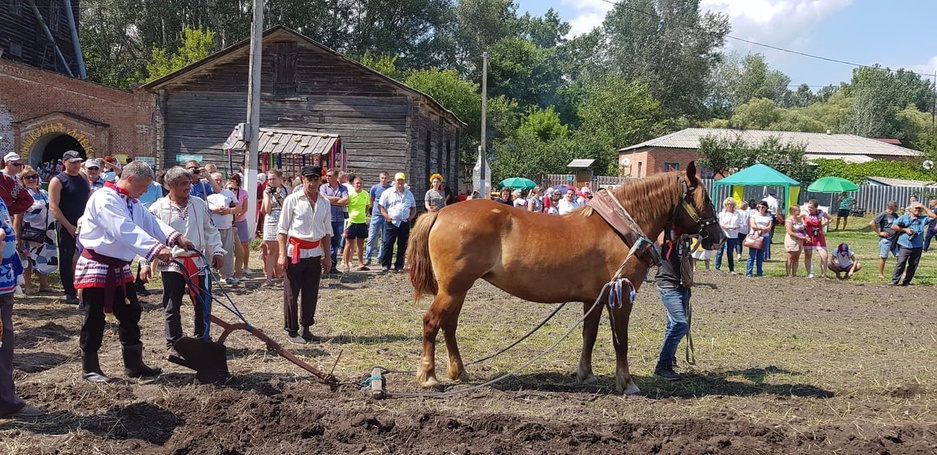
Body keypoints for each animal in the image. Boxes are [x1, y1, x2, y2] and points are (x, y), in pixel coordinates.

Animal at [406, 161, 720, 396]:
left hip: (458, 289)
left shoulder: (596, 297)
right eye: (705, 200)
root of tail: (440, 213)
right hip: (453, 288)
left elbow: (589, 335)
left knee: (449, 325)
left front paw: (586, 374)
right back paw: (428, 377)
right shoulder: (621, 295)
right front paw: (627, 382)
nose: (717, 237)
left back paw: (458, 371)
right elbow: (621, 340)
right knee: (431, 323)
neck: (618, 228)